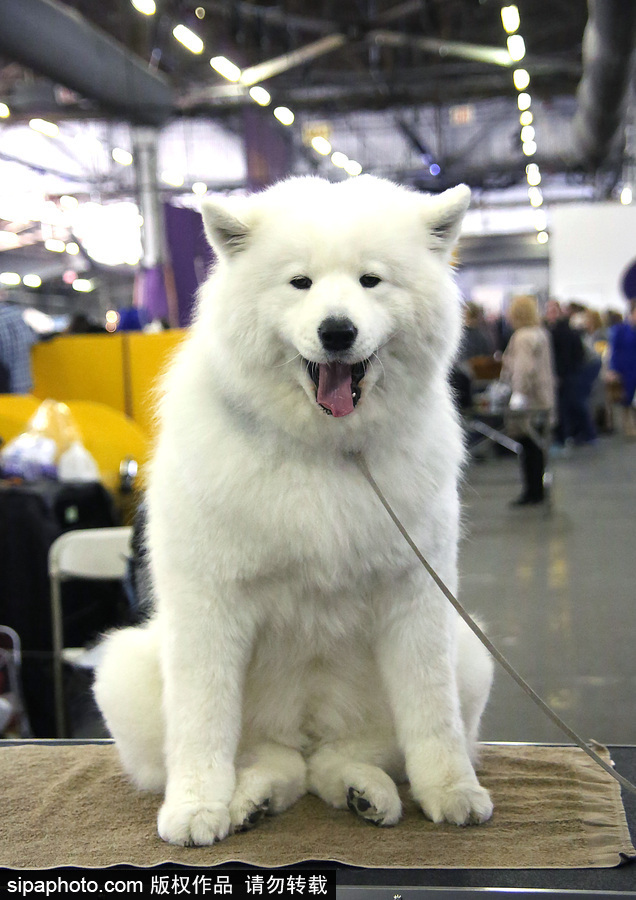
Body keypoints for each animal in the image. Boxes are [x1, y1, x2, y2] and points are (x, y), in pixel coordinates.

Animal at [92, 174, 494, 844]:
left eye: (370, 280)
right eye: (299, 283)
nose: (337, 331)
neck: (325, 452)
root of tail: (304, 738)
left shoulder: (417, 593)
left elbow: (431, 714)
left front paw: (451, 791)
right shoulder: (209, 601)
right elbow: (202, 722)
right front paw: (195, 808)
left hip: (470, 653)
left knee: (349, 755)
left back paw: (363, 791)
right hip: (126, 668)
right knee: (264, 759)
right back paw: (247, 799)